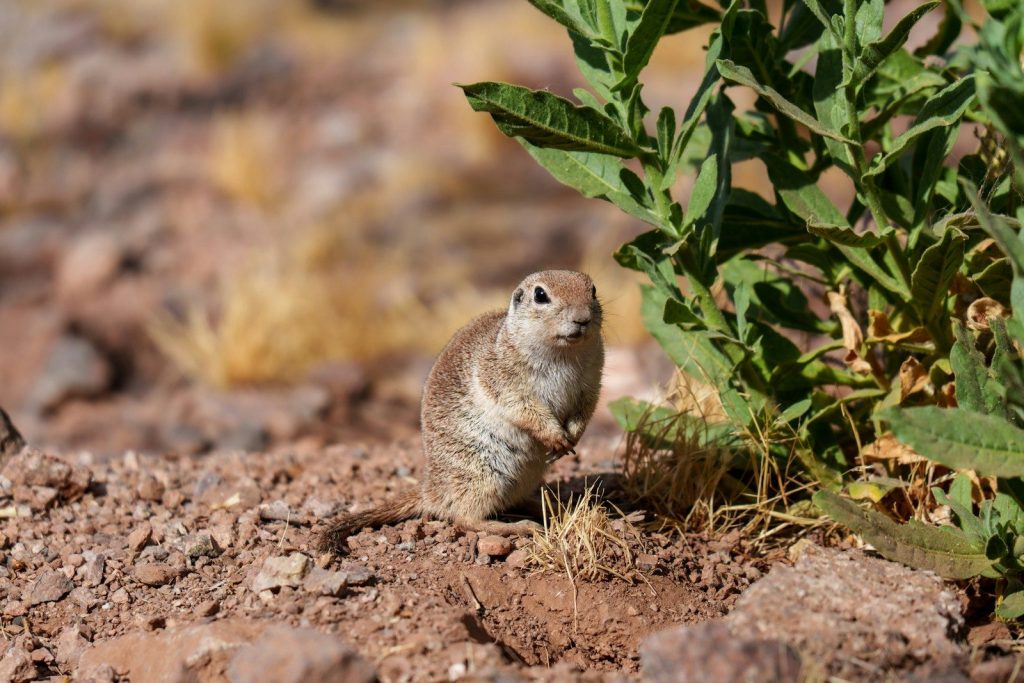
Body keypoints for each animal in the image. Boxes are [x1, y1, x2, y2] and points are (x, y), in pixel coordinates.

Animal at [316, 270, 604, 553]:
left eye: (593, 290)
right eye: (540, 295)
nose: (582, 319)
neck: (563, 353)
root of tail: (432, 489)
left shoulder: (591, 383)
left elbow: (585, 410)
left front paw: (572, 438)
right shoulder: (503, 379)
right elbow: (524, 407)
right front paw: (555, 436)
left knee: (513, 501)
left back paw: (557, 508)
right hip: (482, 475)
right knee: (465, 518)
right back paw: (521, 526)